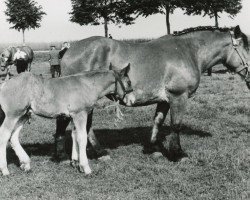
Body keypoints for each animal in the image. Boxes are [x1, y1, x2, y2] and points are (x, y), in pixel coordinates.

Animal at [0, 63, 133, 175]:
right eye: (129, 82)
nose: (131, 100)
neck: (87, 85)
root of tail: (4, 84)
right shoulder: (80, 114)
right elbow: (82, 138)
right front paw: (85, 167)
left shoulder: (73, 116)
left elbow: (75, 135)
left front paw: (75, 162)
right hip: (12, 115)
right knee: (4, 135)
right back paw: (5, 169)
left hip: (23, 115)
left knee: (13, 137)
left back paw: (25, 163)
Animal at [55, 25, 249, 162]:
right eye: (247, 49)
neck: (188, 51)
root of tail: (68, 51)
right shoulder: (178, 96)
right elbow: (176, 124)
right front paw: (178, 153)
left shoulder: (164, 99)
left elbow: (158, 121)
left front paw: (154, 149)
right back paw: (67, 156)